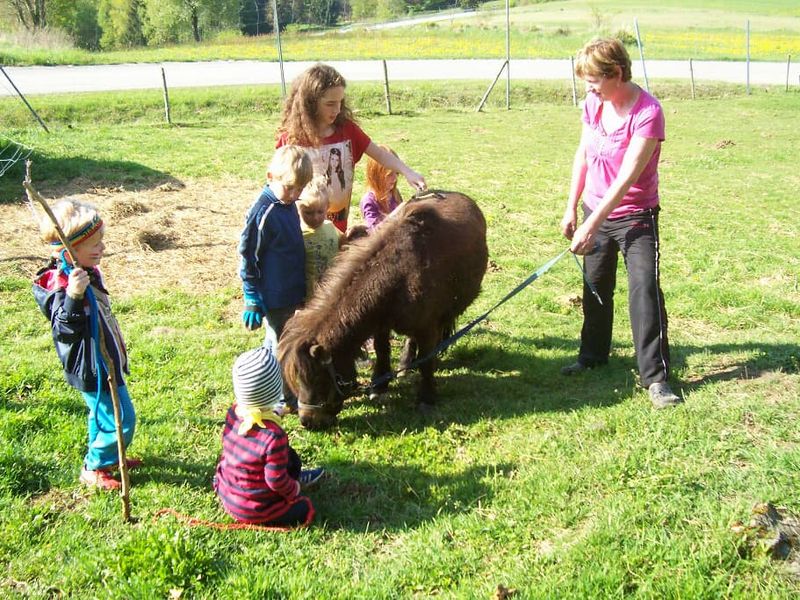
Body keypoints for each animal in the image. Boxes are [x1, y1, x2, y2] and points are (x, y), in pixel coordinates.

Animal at [278, 190, 490, 428]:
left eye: (317, 378)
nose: (307, 421)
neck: (401, 274)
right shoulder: (380, 325)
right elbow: (382, 350)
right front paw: (380, 386)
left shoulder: (427, 328)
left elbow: (426, 362)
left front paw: (426, 398)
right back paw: (406, 365)